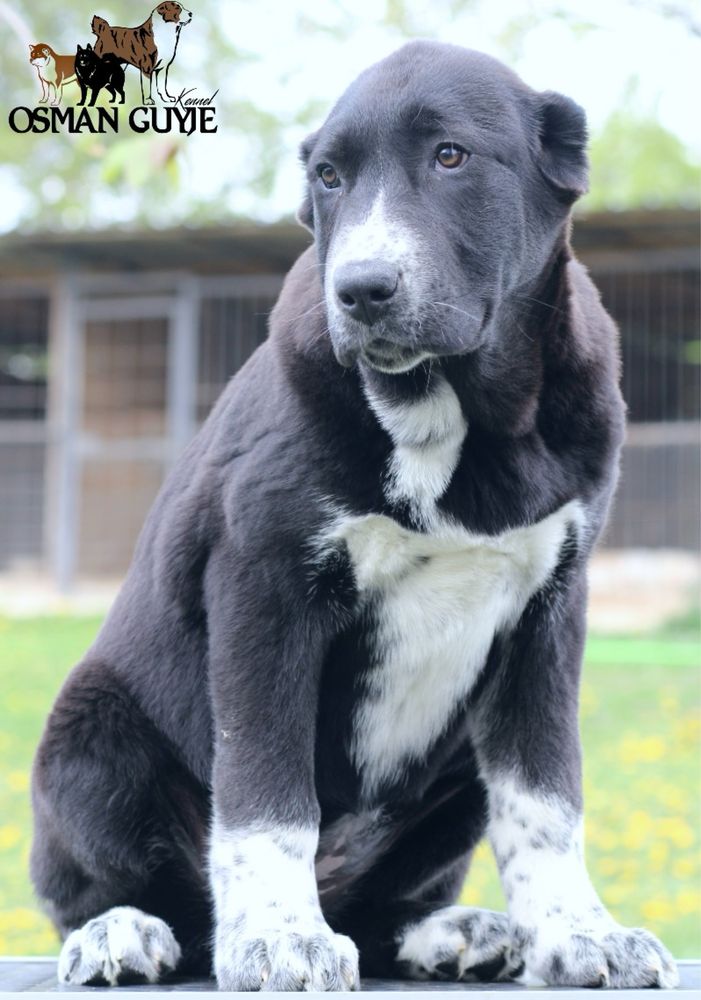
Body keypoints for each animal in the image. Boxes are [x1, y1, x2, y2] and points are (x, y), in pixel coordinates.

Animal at [32, 41, 680, 992]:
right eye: (330, 177)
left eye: (450, 157)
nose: (361, 289)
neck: (450, 412)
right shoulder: (264, 585)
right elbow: (266, 795)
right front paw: (277, 937)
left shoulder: (550, 605)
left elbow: (544, 794)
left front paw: (578, 933)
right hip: (89, 735)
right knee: (120, 895)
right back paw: (121, 933)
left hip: (452, 775)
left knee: (377, 910)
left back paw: (449, 932)